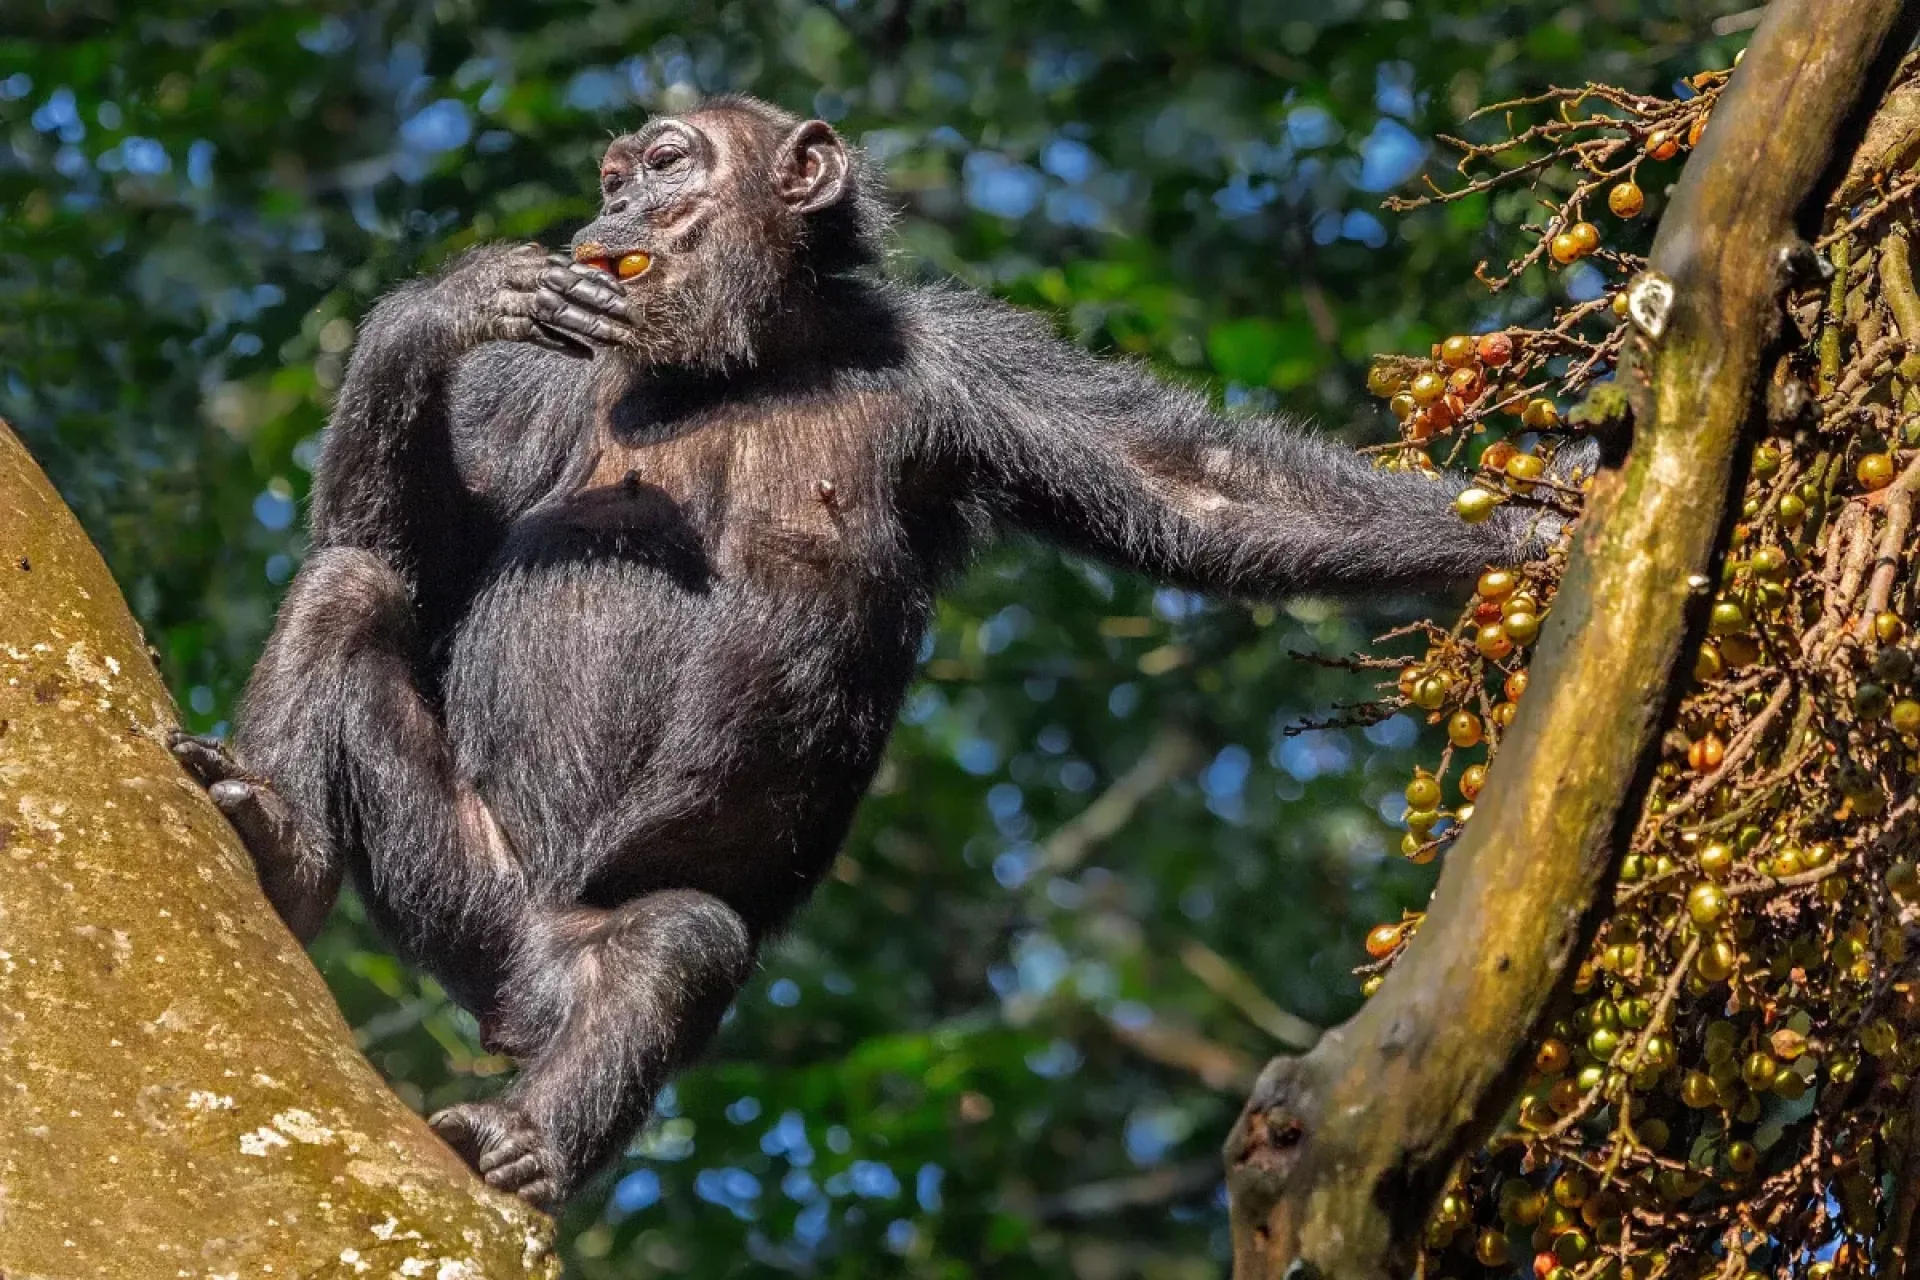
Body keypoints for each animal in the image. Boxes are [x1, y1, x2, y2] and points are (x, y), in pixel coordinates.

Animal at [172, 94, 1585, 1211]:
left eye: (669, 159)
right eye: (617, 171)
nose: (619, 200)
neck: (750, 357)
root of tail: (515, 994)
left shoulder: (969, 362)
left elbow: (1197, 487)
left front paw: (1543, 524)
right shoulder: (534, 385)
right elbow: (405, 555)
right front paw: (449, 300)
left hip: (568, 947)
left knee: (675, 946)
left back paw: (525, 1138)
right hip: (460, 890)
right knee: (350, 589)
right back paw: (281, 844)